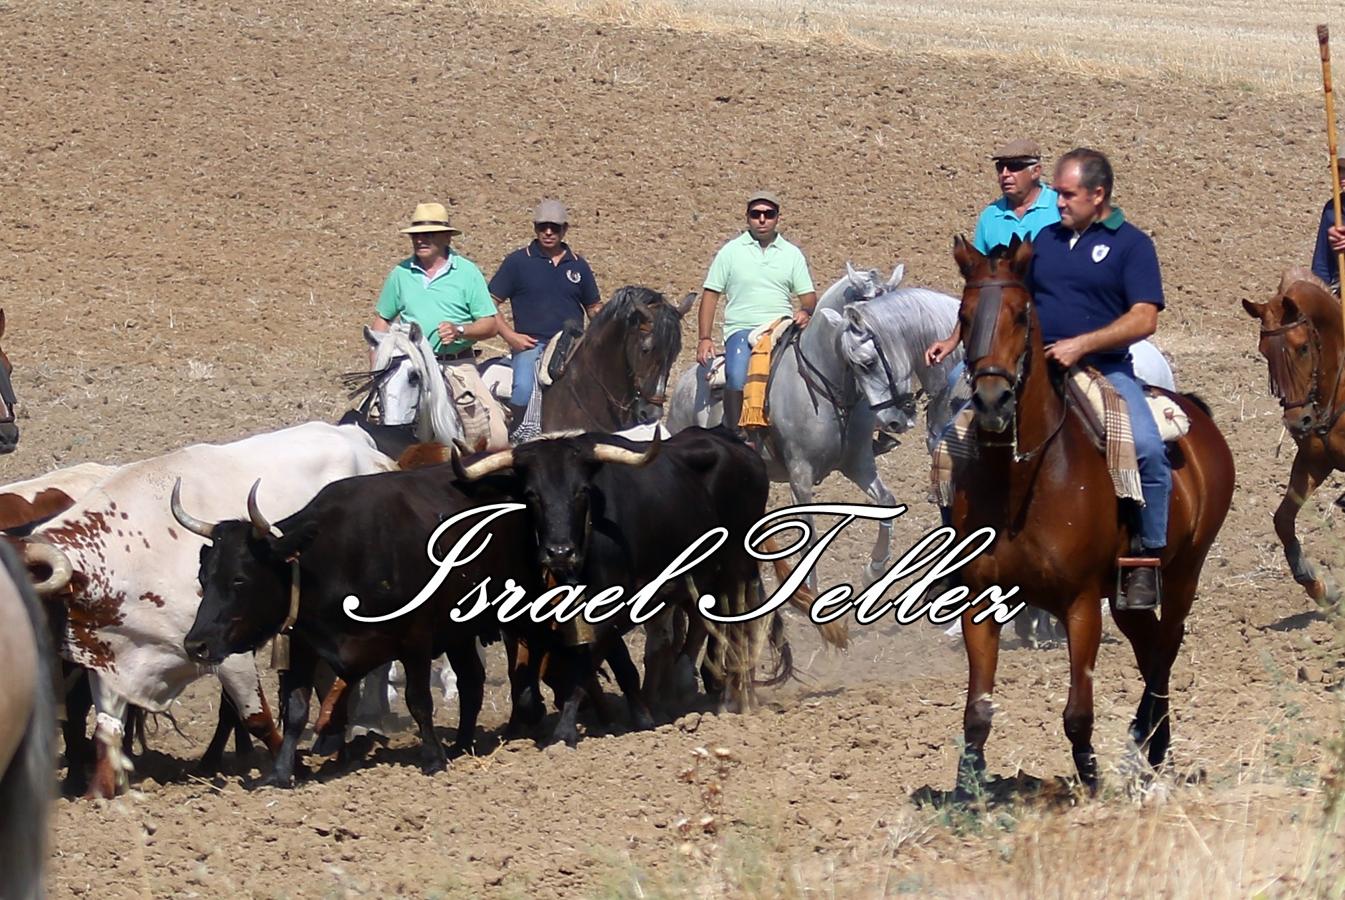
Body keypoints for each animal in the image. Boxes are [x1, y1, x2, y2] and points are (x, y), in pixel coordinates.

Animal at [17, 422, 392, 791]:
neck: (133, 551)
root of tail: (359, 440)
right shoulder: (115, 656)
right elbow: (107, 728)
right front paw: (102, 791)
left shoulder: (228, 650)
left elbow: (256, 717)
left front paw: (290, 767)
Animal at [952, 238, 1232, 791]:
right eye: (964, 314)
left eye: (1021, 314)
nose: (992, 401)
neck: (1024, 478)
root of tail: (1196, 414)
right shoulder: (981, 601)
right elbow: (978, 711)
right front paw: (967, 786)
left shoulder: (1080, 605)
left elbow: (1078, 711)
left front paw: (1090, 780)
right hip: (1127, 596)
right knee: (1151, 647)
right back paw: (1151, 747)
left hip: (1183, 572)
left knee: (1165, 649)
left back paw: (1141, 745)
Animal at [1237, 266, 1345, 602]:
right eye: (1264, 352)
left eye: (1303, 347)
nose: (1299, 422)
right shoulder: (1313, 461)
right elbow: (1283, 520)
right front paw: (1317, 585)